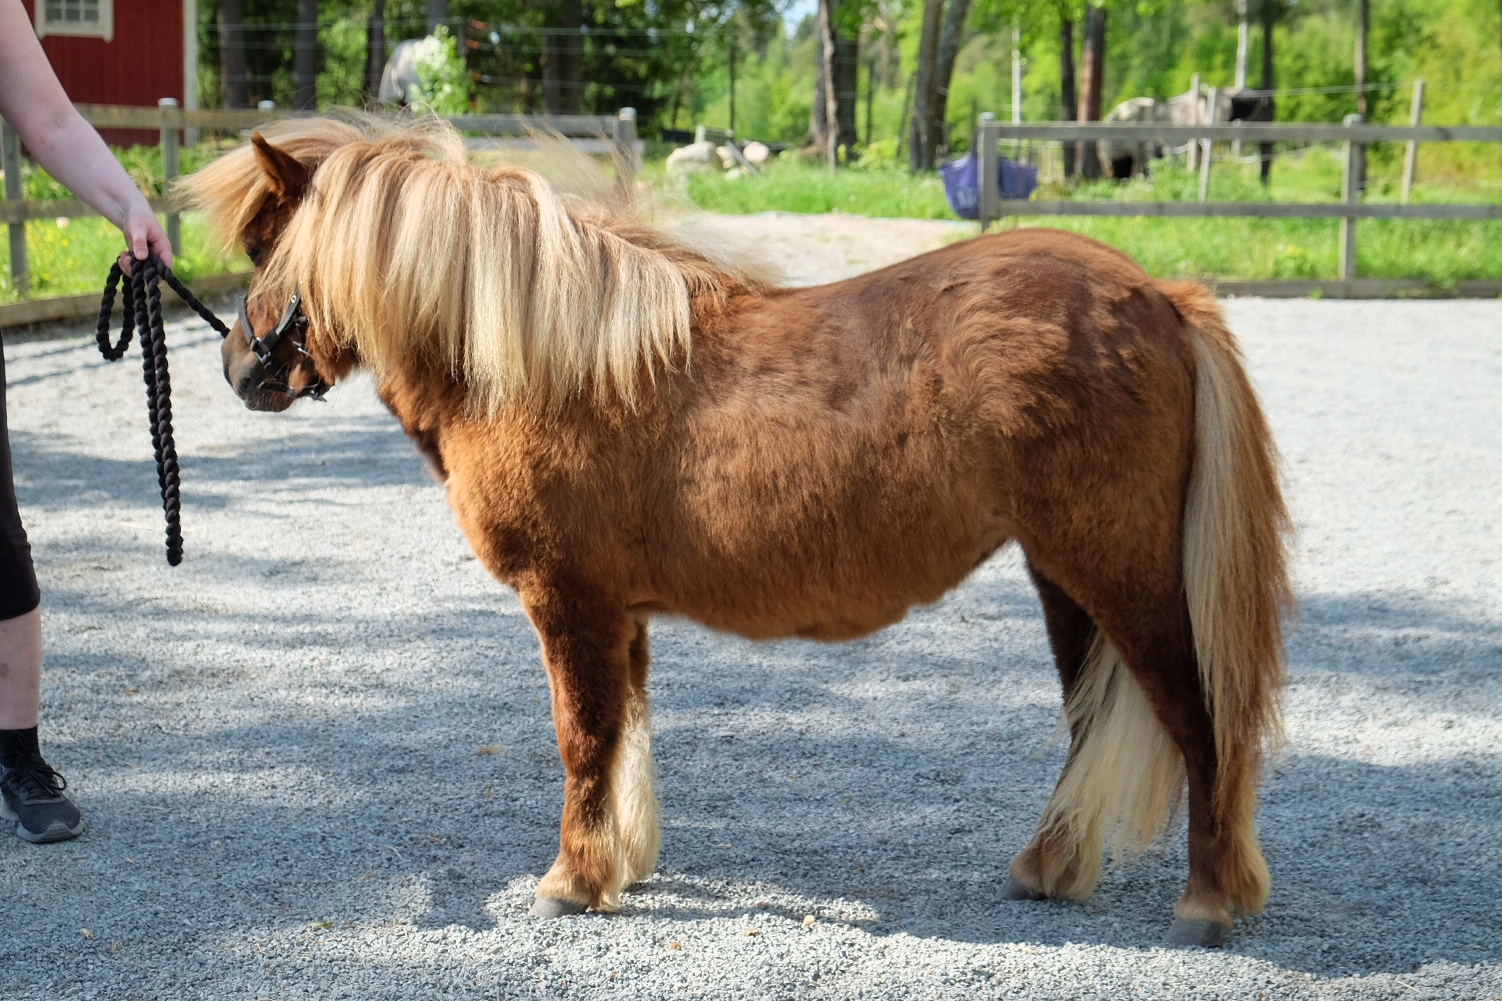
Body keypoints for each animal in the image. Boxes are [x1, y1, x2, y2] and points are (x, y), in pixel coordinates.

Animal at [180, 116, 1292, 948]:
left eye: (267, 246)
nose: (239, 368)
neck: (543, 364)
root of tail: (1161, 296)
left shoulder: (567, 604)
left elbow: (582, 737)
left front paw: (571, 878)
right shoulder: (616, 613)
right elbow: (622, 735)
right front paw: (618, 864)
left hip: (1120, 572)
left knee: (1199, 717)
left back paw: (1206, 897)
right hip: (1063, 579)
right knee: (1088, 718)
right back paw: (1047, 867)